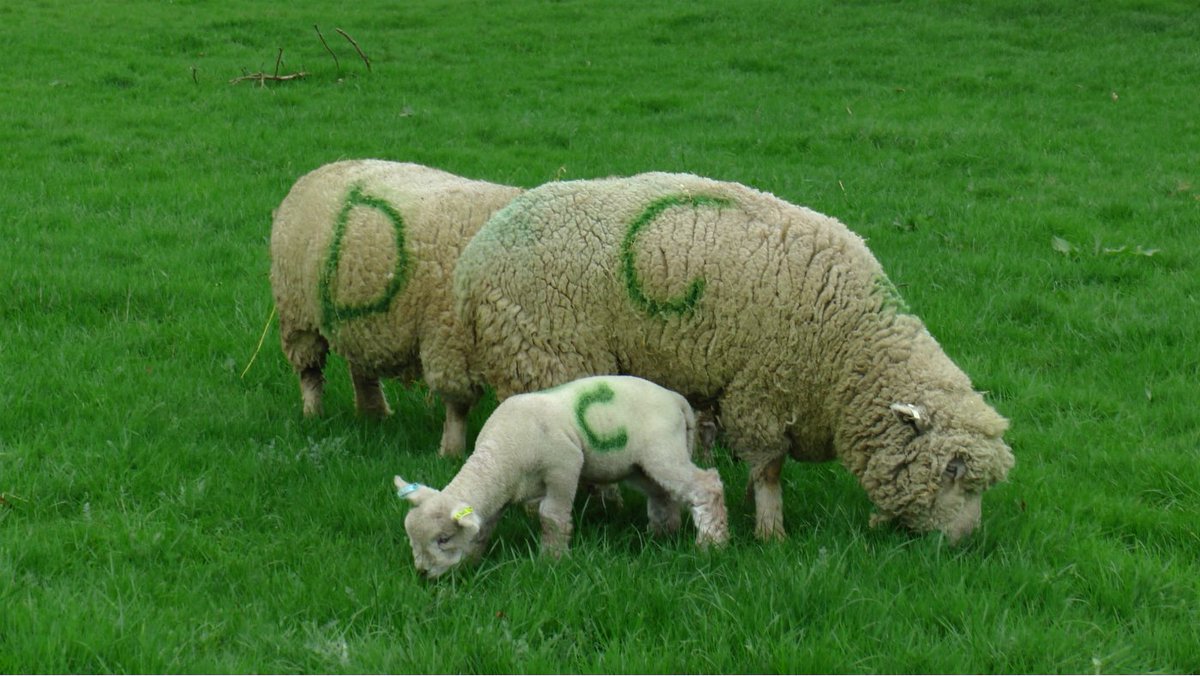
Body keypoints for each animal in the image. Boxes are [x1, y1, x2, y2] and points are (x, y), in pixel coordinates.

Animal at [269, 160, 522, 456]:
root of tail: (316, 172)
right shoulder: (451, 341)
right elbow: (457, 406)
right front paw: (452, 452)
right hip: (299, 315)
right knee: (310, 370)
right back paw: (313, 413)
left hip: (361, 319)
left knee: (362, 369)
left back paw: (374, 414)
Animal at [394, 375, 728, 578]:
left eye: (443, 539)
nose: (422, 574)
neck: (500, 455)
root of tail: (677, 401)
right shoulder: (500, 493)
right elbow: (484, 527)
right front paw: (473, 561)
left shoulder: (563, 467)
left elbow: (551, 517)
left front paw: (551, 560)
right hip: (640, 465)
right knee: (662, 495)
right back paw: (662, 537)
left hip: (663, 450)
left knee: (706, 485)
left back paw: (712, 544)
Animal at [454, 172, 1015, 543]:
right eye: (952, 471)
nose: (965, 543)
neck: (849, 346)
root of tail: (477, 253)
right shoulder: (763, 388)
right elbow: (769, 469)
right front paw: (770, 531)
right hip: (546, 353)